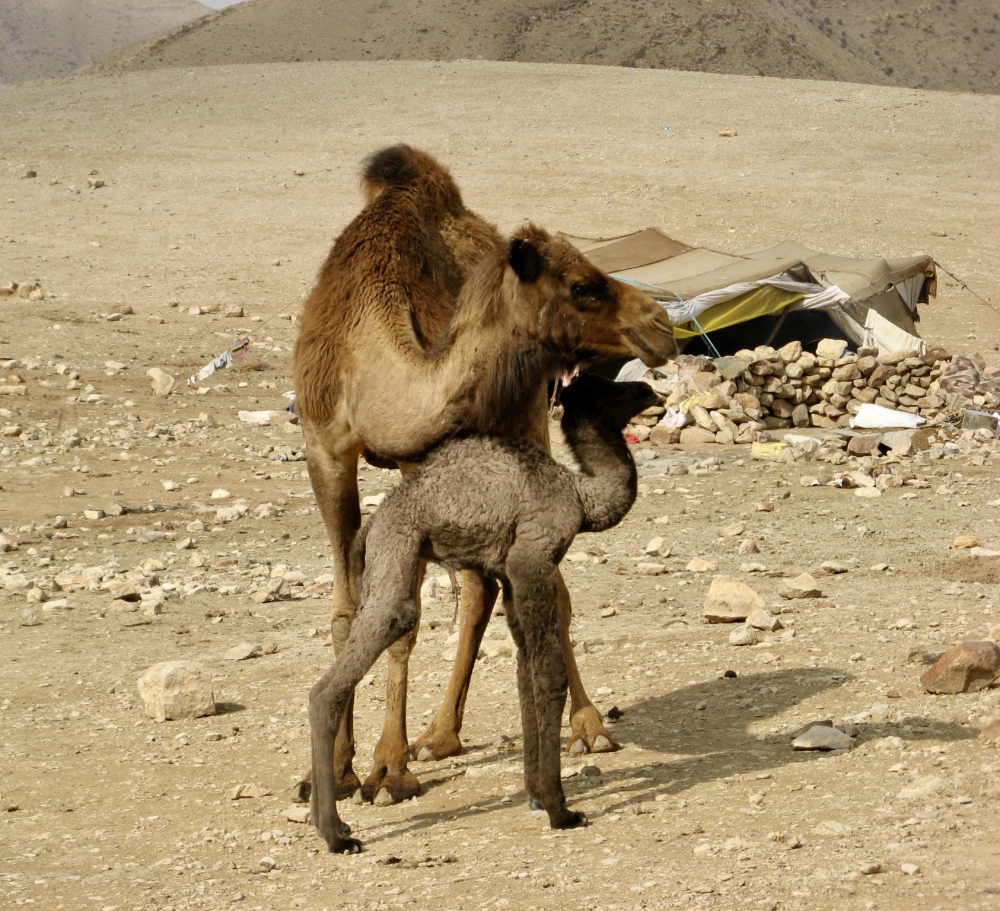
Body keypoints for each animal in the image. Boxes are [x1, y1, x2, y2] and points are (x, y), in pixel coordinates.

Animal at [292, 148, 676, 804]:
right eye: (582, 285)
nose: (662, 323)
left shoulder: (430, 455)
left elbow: (405, 619)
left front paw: (389, 770)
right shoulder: (326, 448)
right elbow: (349, 611)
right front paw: (335, 772)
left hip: (524, 426)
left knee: (521, 590)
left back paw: (585, 727)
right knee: (481, 587)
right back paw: (440, 735)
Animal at [308, 374, 660, 852]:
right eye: (613, 391)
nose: (651, 391)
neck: (579, 495)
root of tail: (375, 523)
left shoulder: (510, 576)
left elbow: (525, 675)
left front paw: (535, 794)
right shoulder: (532, 557)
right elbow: (549, 675)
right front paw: (560, 809)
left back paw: (329, 820)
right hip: (399, 550)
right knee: (353, 662)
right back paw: (336, 832)